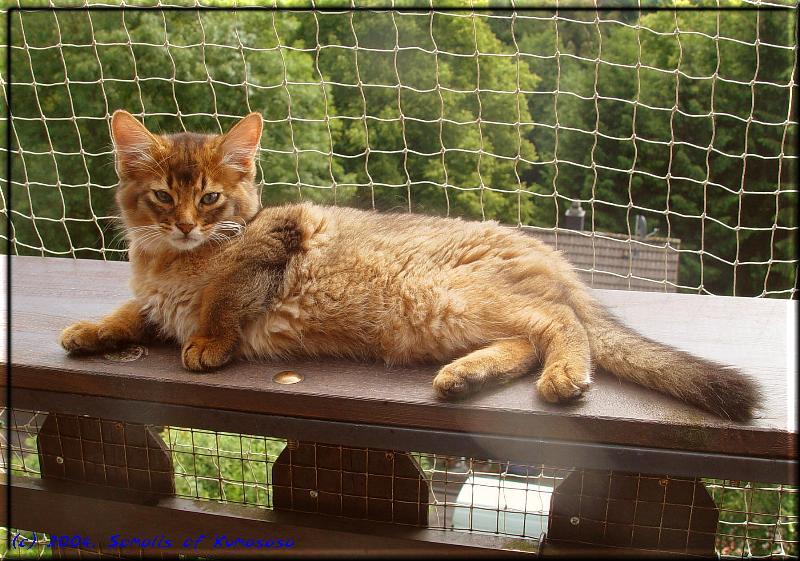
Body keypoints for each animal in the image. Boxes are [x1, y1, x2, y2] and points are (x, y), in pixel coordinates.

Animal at [57, 110, 764, 420]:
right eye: (161, 196)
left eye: (208, 199)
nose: (184, 224)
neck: (168, 263)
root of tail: (552, 255)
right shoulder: (155, 297)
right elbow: (133, 311)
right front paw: (91, 331)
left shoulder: (275, 238)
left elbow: (224, 296)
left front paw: (206, 341)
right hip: (448, 316)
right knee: (527, 337)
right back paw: (466, 377)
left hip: (448, 294)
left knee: (559, 322)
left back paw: (563, 375)